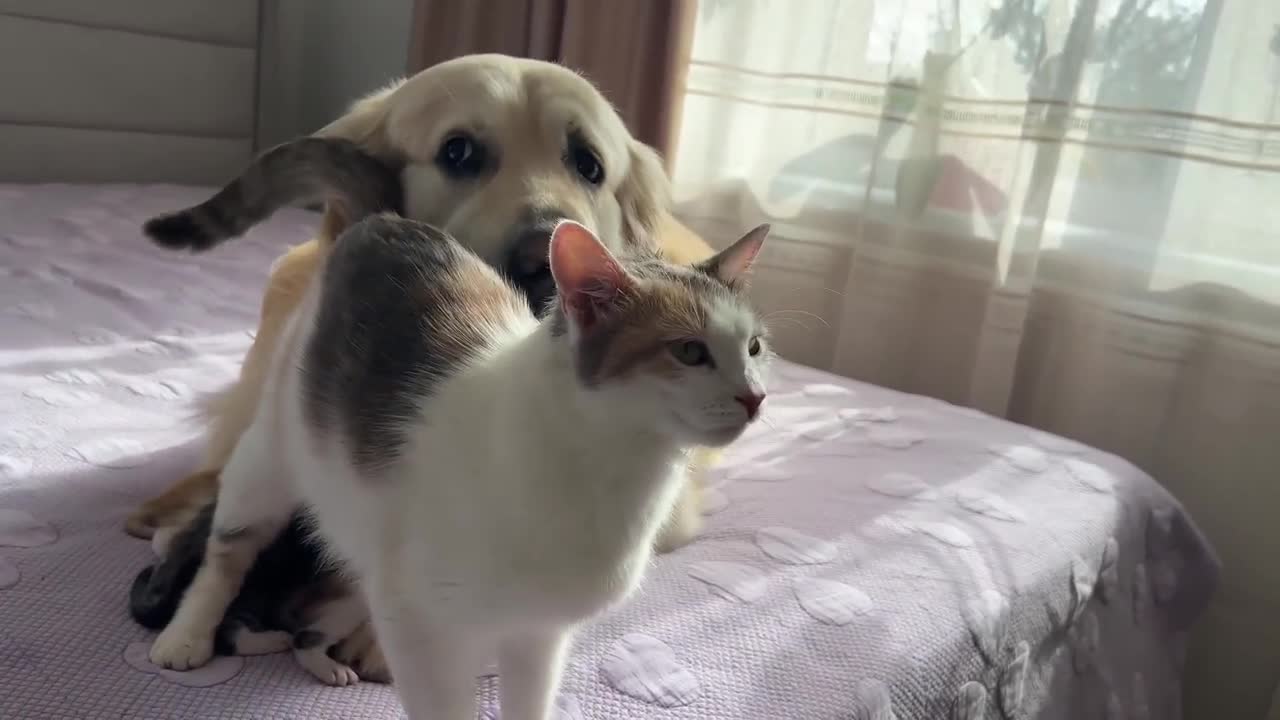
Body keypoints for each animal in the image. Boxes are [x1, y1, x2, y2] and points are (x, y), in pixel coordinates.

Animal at [148, 208, 768, 717]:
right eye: (689, 351)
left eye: (755, 347)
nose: (755, 396)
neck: (609, 468)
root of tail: (385, 221)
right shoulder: (418, 625)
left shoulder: (538, 632)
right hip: (271, 456)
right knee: (227, 552)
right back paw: (187, 634)